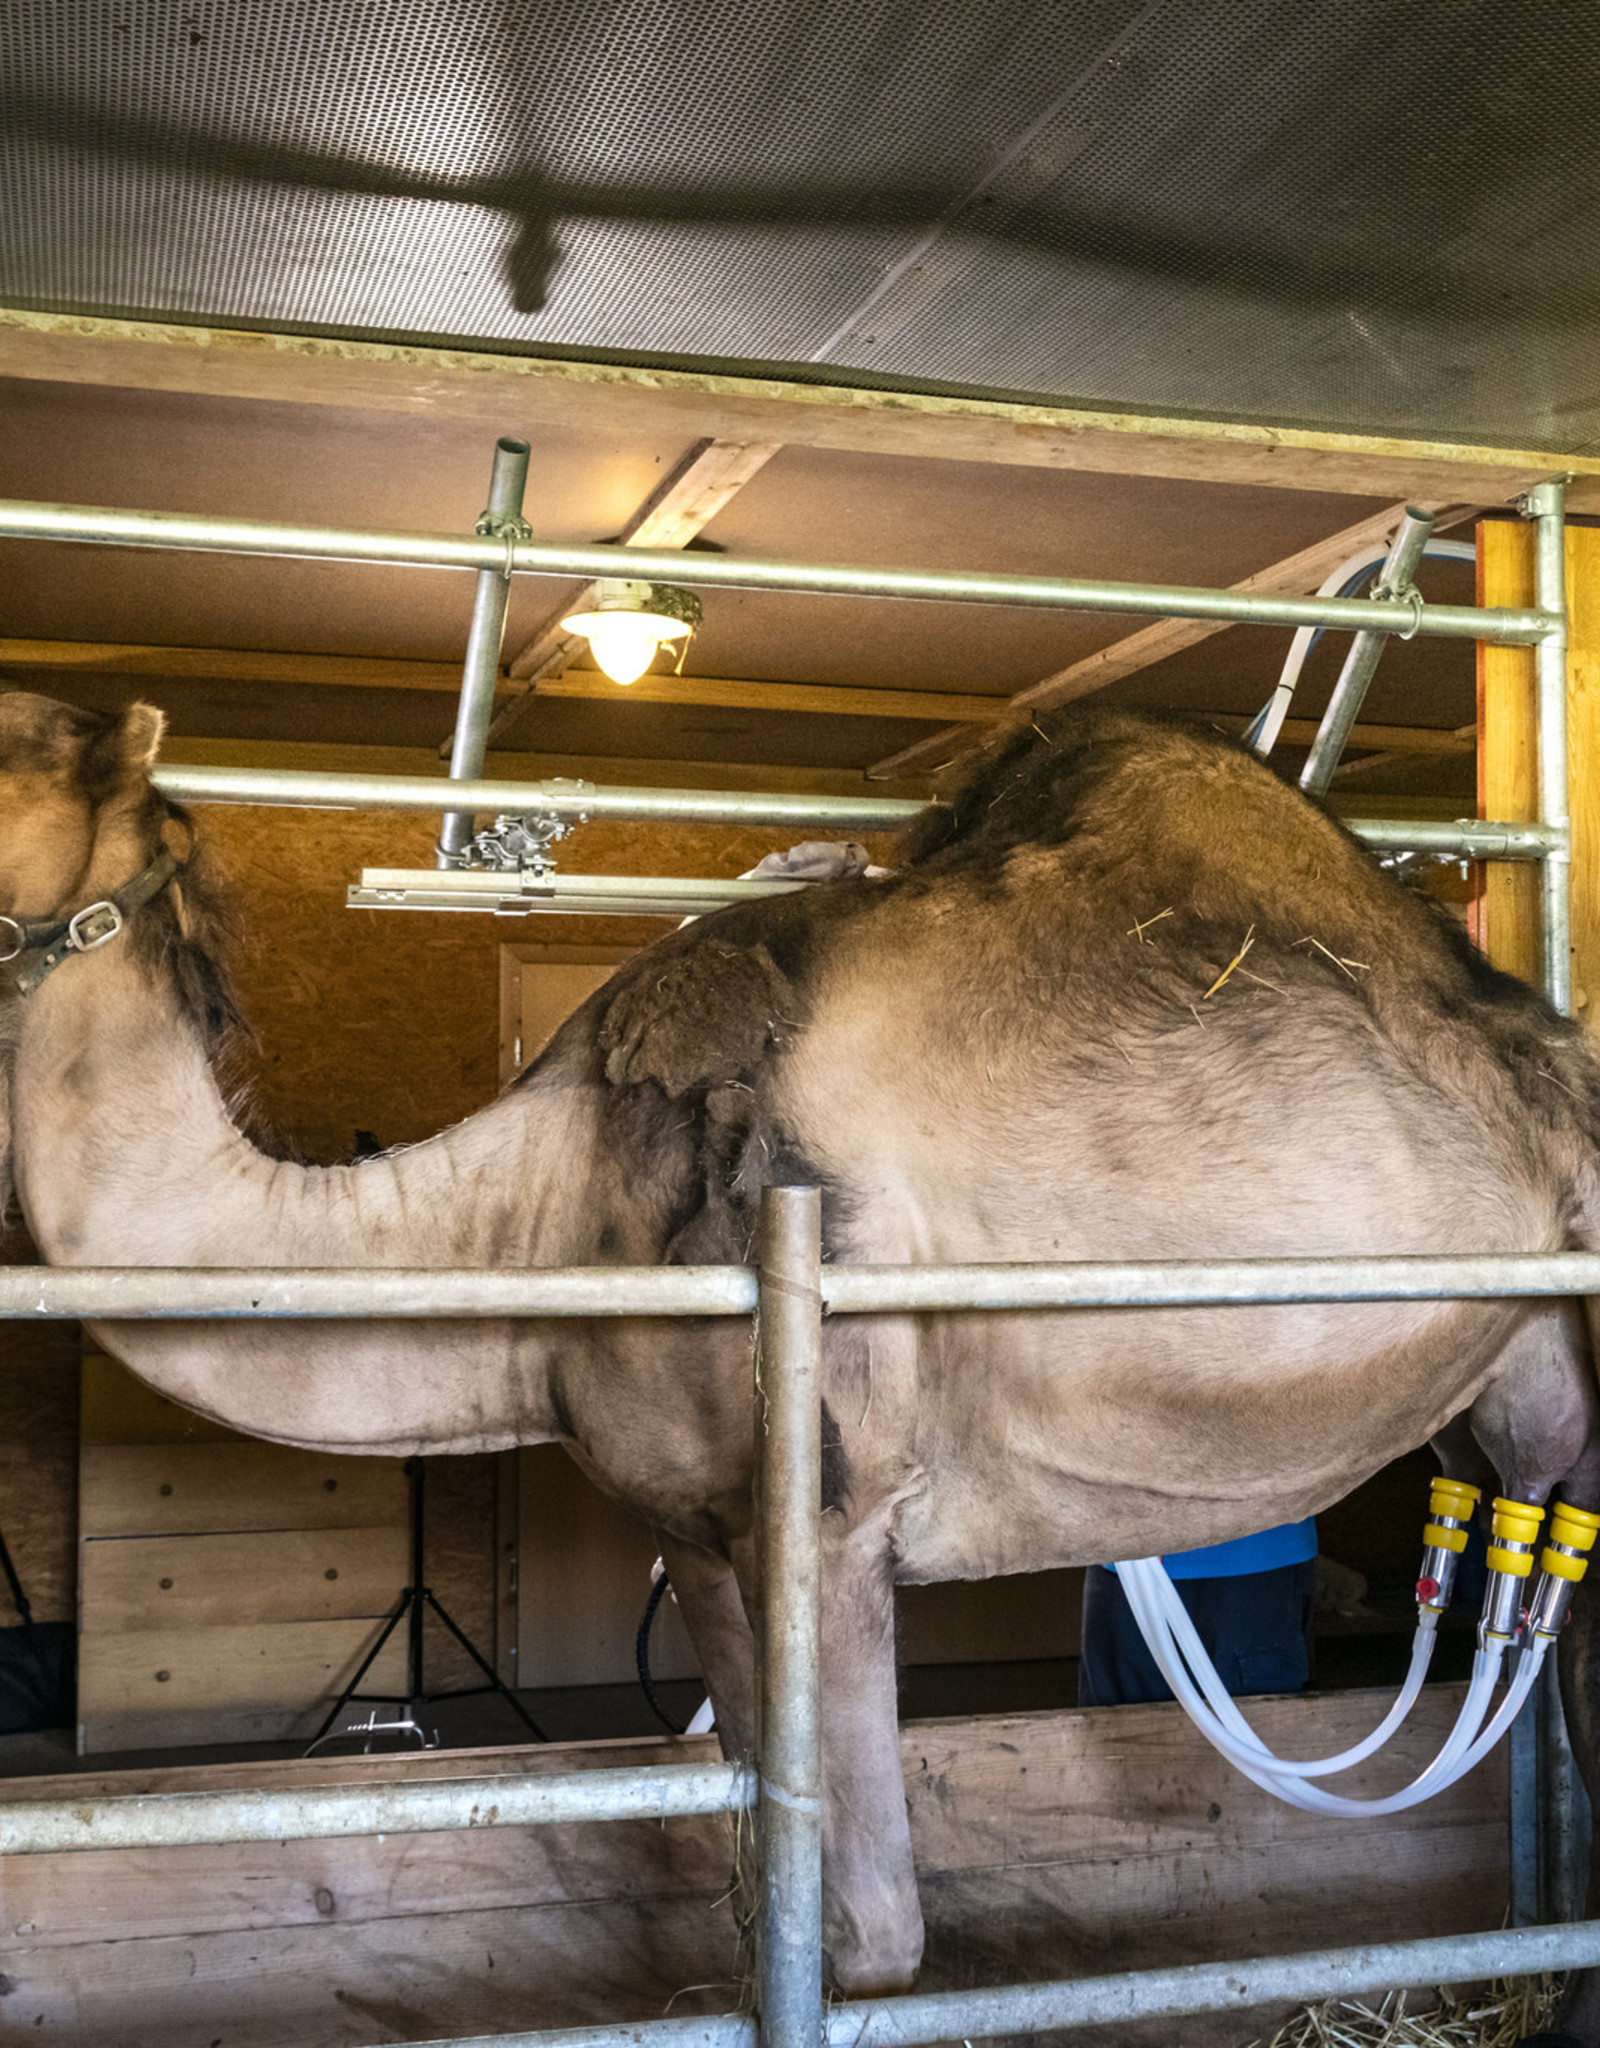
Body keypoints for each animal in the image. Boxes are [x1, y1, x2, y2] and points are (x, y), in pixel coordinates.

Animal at [6, 688, 1597, 2031]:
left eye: (11, 744)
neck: (543, 1208)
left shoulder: (835, 1515)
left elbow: (874, 1942)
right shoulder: (703, 1536)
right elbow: (774, 1883)